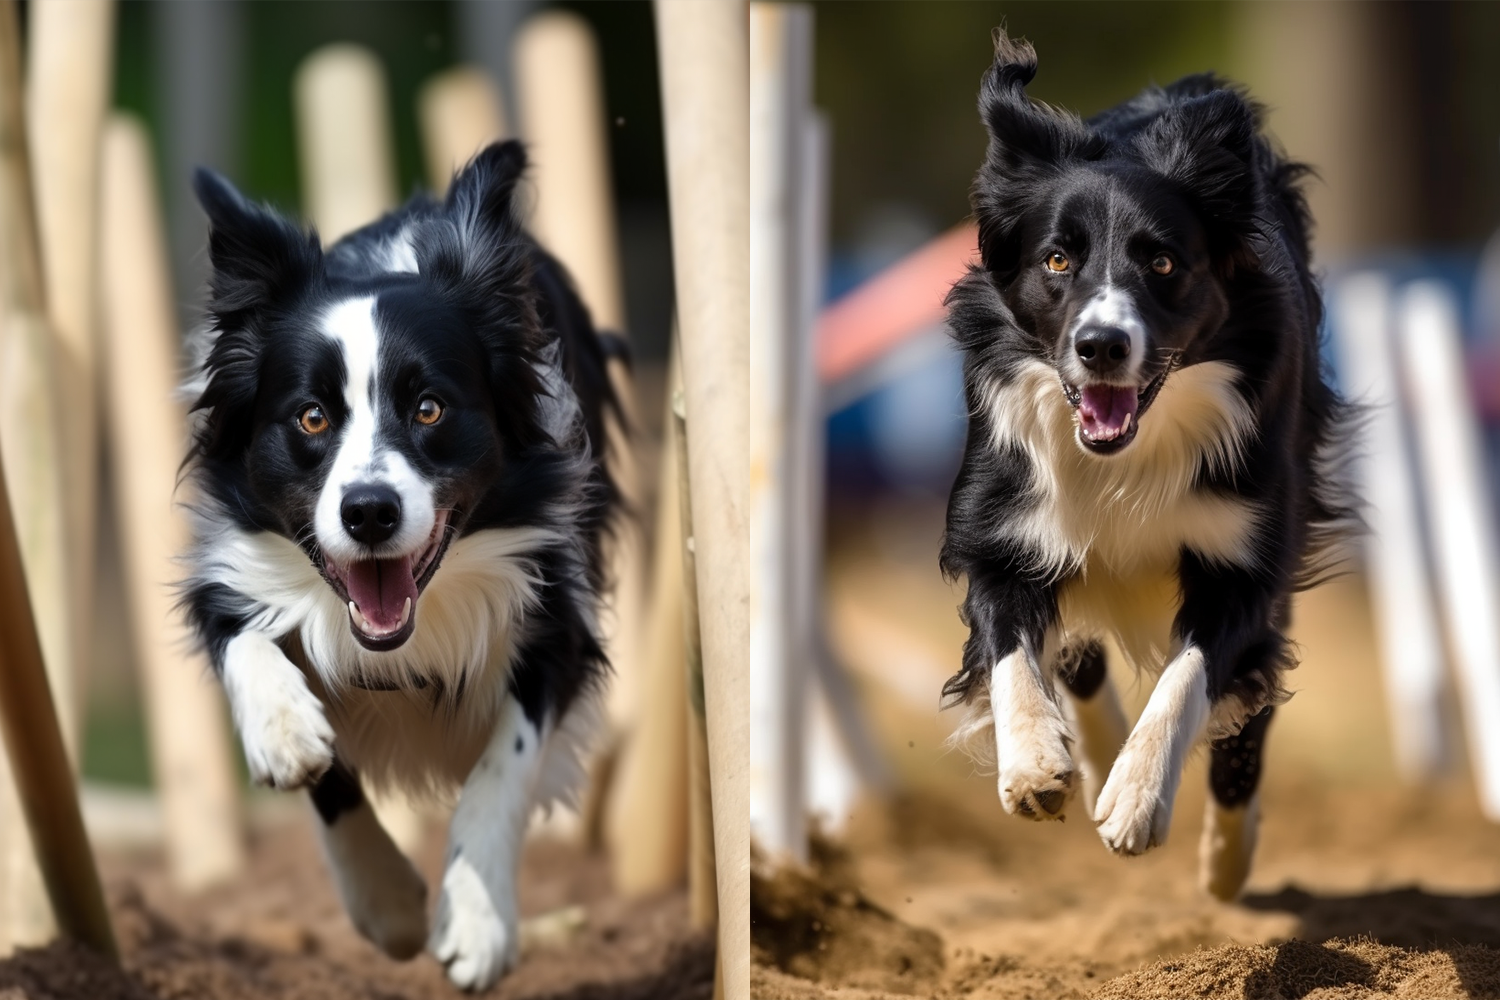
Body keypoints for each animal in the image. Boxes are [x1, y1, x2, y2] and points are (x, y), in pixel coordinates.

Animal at [181, 142, 615, 995]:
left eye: (429, 409)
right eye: (312, 417)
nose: (370, 512)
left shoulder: (559, 609)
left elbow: (506, 759)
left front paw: (477, 921)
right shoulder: (230, 571)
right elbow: (273, 688)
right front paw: (386, 901)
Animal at [942, 33, 1356, 899]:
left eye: (1163, 264)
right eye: (1057, 260)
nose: (1102, 346)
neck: (1127, 456)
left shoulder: (1243, 561)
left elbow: (1191, 678)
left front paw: (1137, 800)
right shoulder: (1005, 530)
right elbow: (1012, 654)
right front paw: (1035, 765)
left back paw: (1225, 859)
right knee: (1074, 655)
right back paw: (1087, 760)